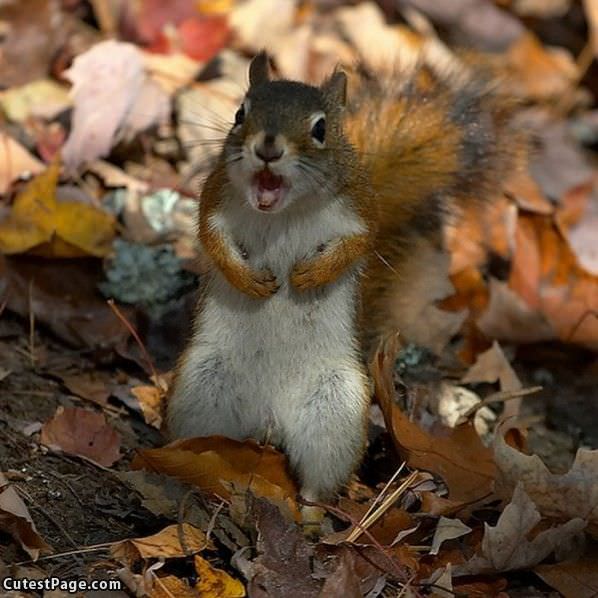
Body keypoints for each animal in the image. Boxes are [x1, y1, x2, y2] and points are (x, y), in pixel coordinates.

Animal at [166, 52, 516, 528]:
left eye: (320, 129)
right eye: (241, 114)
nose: (268, 148)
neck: (284, 211)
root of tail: (268, 419)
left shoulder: (360, 211)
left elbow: (356, 245)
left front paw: (310, 276)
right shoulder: (216, 200)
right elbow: (213, 240)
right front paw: (249, 280)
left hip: (335, 411)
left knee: (318, 478)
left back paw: (311, 518)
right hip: (202, 389)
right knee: (200, 446)